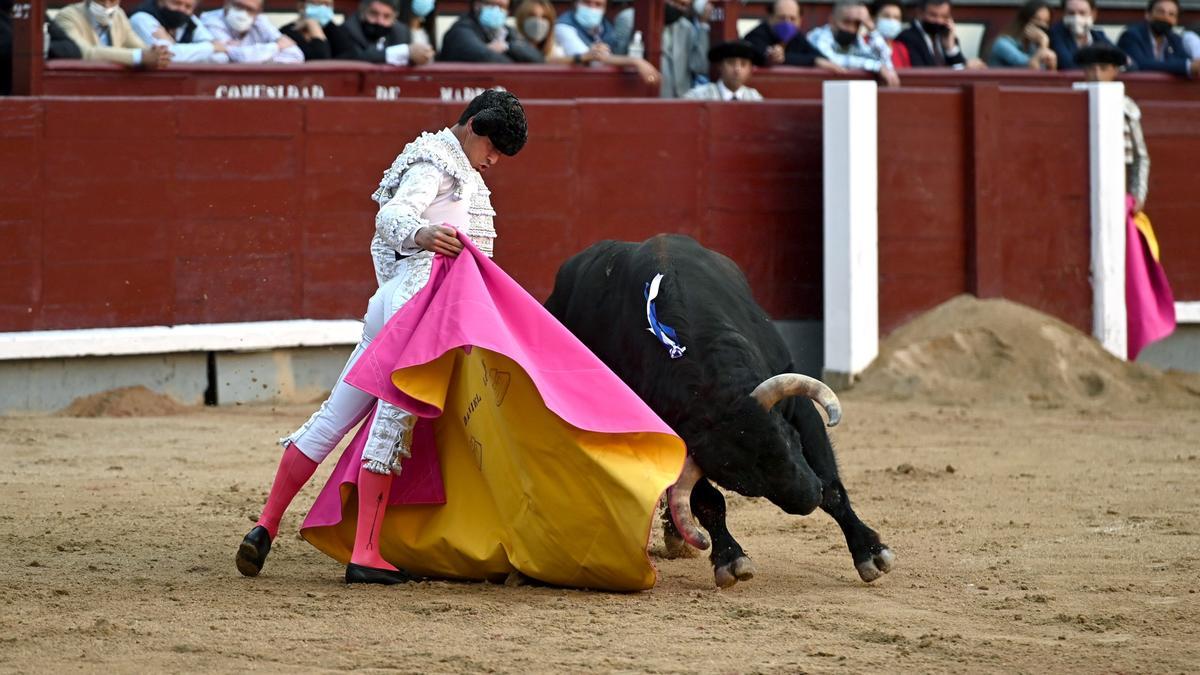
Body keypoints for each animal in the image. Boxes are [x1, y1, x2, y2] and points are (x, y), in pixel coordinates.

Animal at [549, 235, 897, 583]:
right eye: (742, 483)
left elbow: (832, 484)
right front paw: (731, 559)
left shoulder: (799, 407)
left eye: (789, 441)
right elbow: (709, 502)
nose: (808, 498)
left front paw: (870, 553)